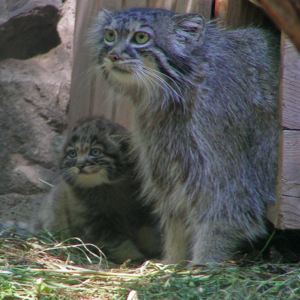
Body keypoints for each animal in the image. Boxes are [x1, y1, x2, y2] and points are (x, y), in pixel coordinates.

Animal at [38, 116, 163, 264]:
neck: (109, 187)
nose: (80, 165)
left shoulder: (143, 210)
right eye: (72, 154)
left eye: (95, 152)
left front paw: (155, 250)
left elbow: (148, 232)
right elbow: (117, 242)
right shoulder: (97, 221)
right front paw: (131, 257)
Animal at [90, 8, 280, 264]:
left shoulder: (224, 169)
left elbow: (224, 213)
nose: (113, 56)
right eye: (110, 35)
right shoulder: (163, 157)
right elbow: (175, 215)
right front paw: (172, 261)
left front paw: (203, 263)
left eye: (141, 37)